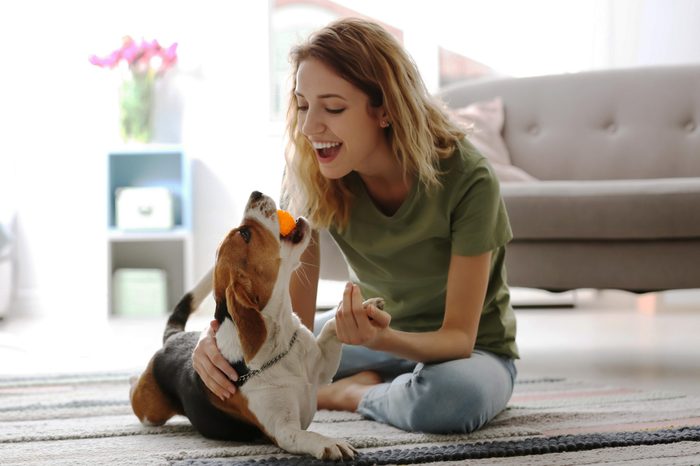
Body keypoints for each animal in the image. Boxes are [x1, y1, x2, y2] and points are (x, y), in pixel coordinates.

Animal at [130, 191, 372, 460]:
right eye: (245, 234)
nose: (256, 193)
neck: (279, 343)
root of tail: (173, 337)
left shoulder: (323, 369)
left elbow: (331, 326)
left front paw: (361, 309)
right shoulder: (283, 430)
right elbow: (307, 435)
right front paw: (329, 443)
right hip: (149, 412)